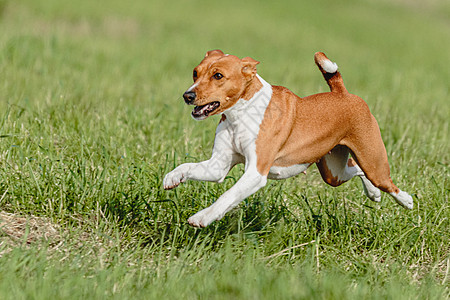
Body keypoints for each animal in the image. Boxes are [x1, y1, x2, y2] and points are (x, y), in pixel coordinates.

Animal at [163, 49, 414, 227]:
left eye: (218, 76)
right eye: (195, 72)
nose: (188, 95)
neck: (241, 114)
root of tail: (342, 93)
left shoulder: (256, 173)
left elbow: (227, 196)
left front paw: (202, 217)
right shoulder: (218, 167)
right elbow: (187, 166)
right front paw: (172, 178)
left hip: (373, 162)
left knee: (384, 181)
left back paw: (405, 200)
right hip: (333, 172)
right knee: (356, 168)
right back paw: (373, 194)